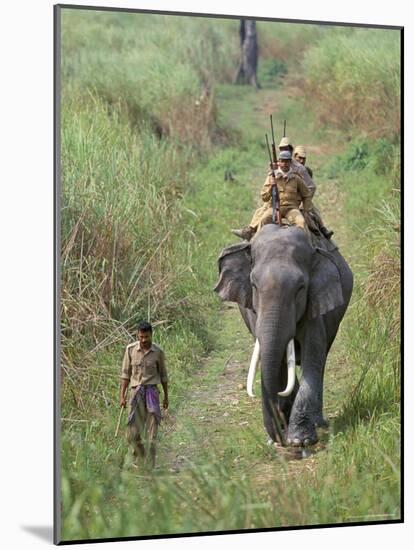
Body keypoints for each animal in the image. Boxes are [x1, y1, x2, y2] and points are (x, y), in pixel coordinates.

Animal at [213, 224, 352, 448]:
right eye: (254, 286)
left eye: (300, 288)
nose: (279, 438)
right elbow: (277, 364)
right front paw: (279, 436)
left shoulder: (315, 305)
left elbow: (313, 355)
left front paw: (300, 440)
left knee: (320, 362)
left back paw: (317, 422)